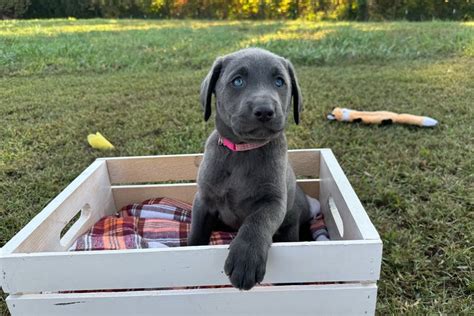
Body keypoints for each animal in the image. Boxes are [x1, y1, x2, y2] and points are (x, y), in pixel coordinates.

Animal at [189, 47, 312, 292]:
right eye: (237, 81)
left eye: (279, 82)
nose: (264, 110)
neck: (244, 150)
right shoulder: (204, 200)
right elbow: (196, 234)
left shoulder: (274, 202)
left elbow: (257, 220)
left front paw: (245, 259)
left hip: (292, 224)